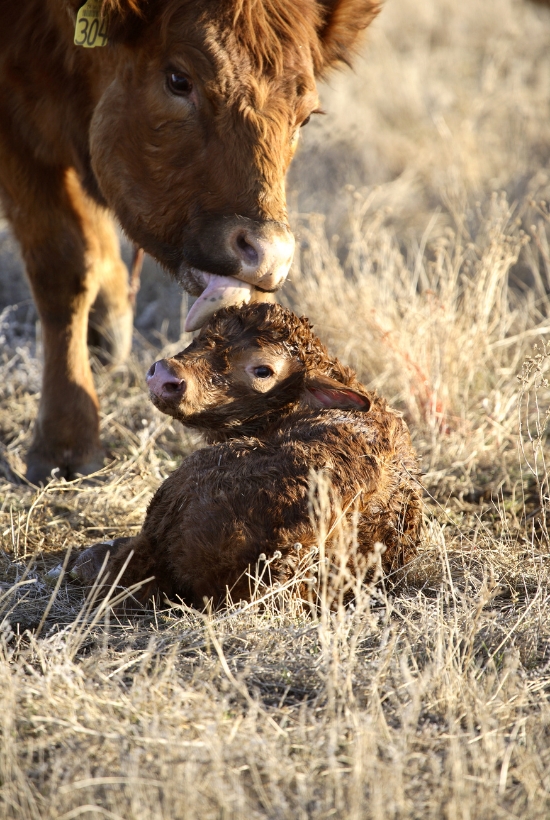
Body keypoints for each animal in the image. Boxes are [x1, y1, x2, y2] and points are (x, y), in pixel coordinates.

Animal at [0, 0, 380, 484]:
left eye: (307, 115)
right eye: (179, 80)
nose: (267, 254)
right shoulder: (16, 137)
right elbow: (63, 267)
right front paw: (66, 442)